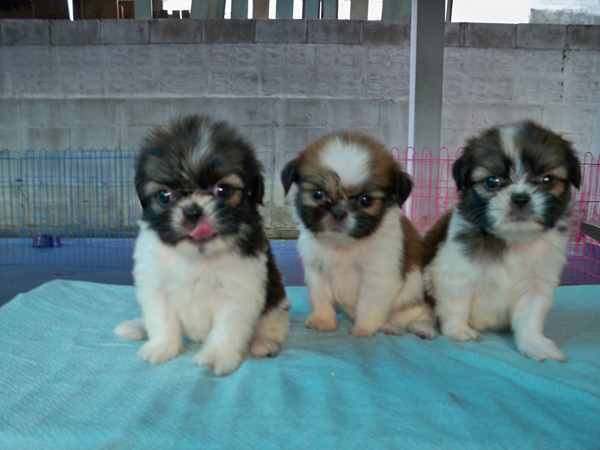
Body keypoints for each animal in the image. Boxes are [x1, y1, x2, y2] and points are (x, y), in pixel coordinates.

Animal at [114, 115, 290, 376]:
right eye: (164, 196)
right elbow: (160, 320)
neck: (196, 255)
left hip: (277, 308)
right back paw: (136, 326)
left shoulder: (238, 295)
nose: (192, 211)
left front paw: (216, 356)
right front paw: (162, 347)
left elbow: (227, 330)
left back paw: (264, 344)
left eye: (223, 190)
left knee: (271, 326)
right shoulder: (155, 287)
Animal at [281, 132, 437, 339]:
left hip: (415, 301)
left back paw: (412, 328)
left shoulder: (377, 277)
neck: (343, 245)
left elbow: (369, 305)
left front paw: (363, 329)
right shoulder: (317, 271)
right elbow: (320, 297)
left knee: (421, 315)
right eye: (317, 194)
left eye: (366, 200)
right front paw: (323, 321)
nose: (338, 212)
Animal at [423, 120, 581, 362]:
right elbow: (456, 305)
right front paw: (458, 330)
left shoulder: (536, 286)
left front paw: (535, 344)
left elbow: (530, 319)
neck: (514, 239)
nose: (520, 198)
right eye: (492, 181)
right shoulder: (455, 275)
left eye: (548, 180)